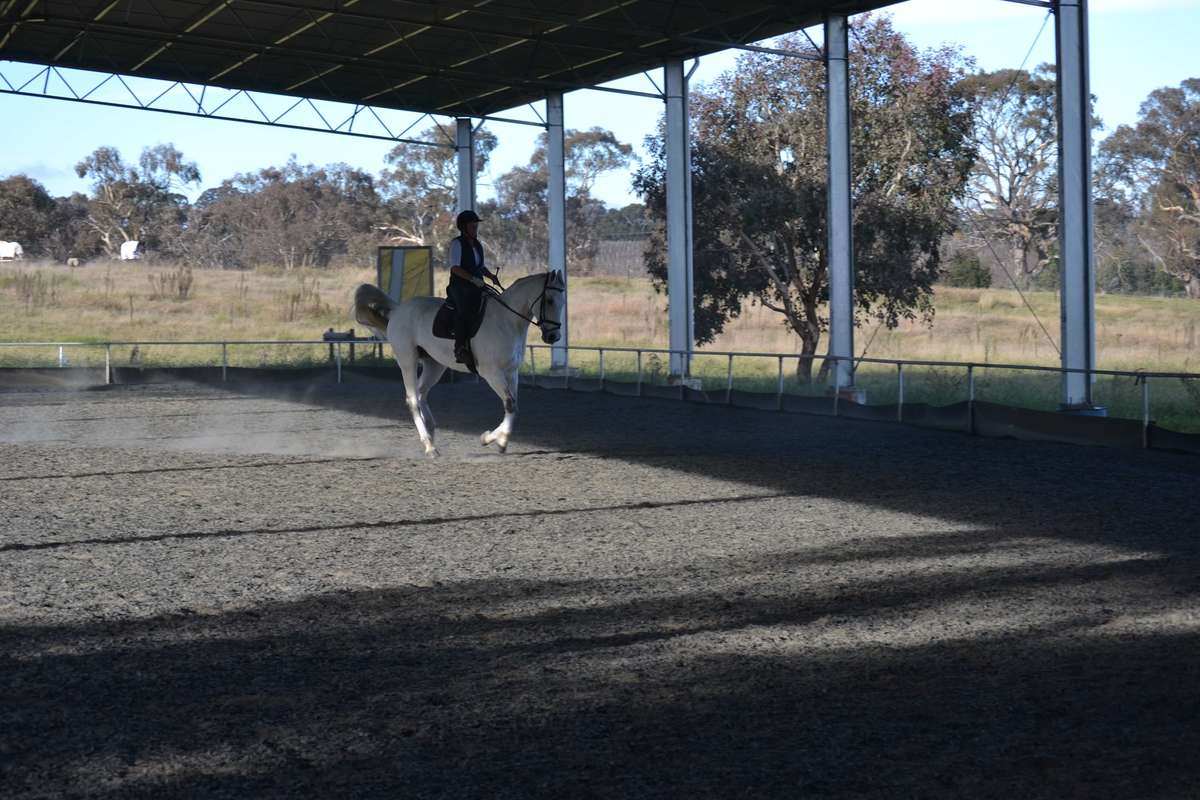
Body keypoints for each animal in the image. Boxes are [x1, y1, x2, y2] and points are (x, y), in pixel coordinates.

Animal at [353, 271, 566, 457]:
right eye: (549, 300)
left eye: (563, 302)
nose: (553, 336)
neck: (506, 321)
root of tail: (397, 310)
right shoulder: (492, 373)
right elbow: (510, 403)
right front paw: (492, 439)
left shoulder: (511, 372)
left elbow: (514, 406)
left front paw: (498, 441)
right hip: (407, 360)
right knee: (413, 399)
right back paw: (429, 446)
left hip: (434, 364)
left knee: (421, 394)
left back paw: (430, 432)